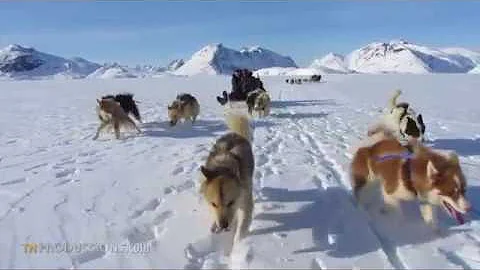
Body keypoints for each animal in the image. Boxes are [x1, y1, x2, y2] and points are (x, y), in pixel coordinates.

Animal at [200, 113, 255, 248]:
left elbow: (241, 228)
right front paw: (214, 225)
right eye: (214, 204)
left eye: (231, 202)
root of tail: (235, 133)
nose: (223, 226)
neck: (224, 167)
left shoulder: (246, 202)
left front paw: (238, 244)